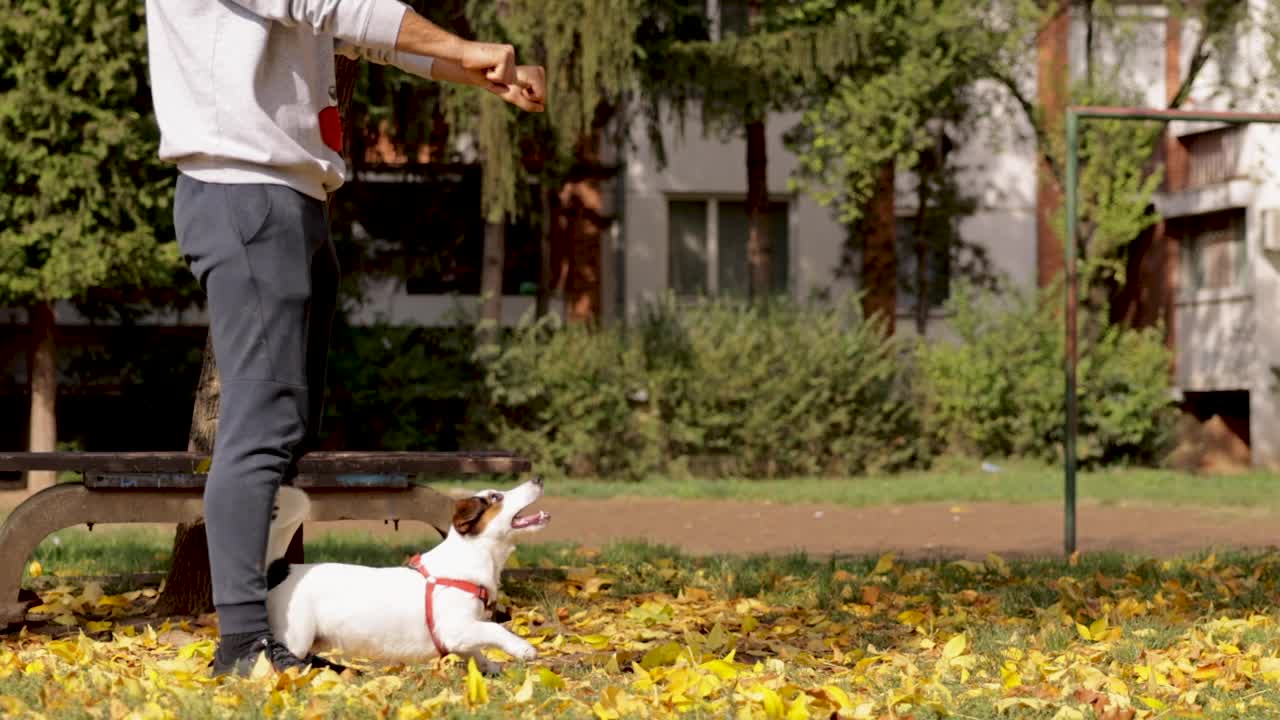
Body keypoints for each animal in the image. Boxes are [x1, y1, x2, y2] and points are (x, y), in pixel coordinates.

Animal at [264, 476, 550, 671]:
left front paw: (489, 667)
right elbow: (494, 630)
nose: (538, 479)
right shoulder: (456, 628)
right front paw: (522, 648)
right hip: (295, 637)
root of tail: (280, 568)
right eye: (495, 497)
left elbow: (476, 651)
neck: (472, 556)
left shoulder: (461, 636)